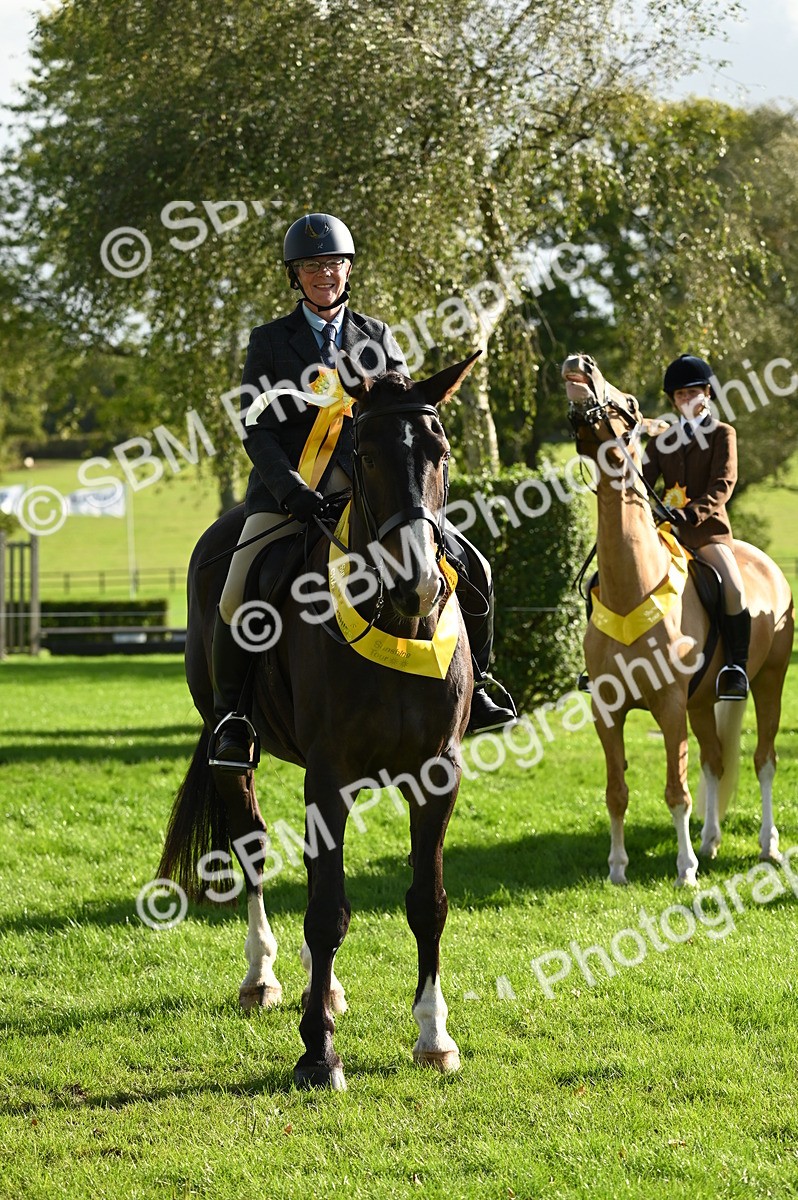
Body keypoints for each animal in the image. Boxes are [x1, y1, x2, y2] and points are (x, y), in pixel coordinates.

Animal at [158, 351, 476, 1090]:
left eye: (441, 449)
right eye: (366, 451)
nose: (418, 583)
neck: (398, 623)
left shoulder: (436, 775)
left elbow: (428, 902)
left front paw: (433, 1037)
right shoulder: (329, 777)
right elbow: (328, 910)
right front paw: (318, 1052)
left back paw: (321, 987)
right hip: (233, 746)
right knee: (249, 846)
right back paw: (264, 978)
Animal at [563, 356, 794, 886]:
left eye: (628, 404)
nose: (579, 364)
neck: (634, 586)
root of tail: (764, 562)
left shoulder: (669, 707)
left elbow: (676, 791)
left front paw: (685, 869)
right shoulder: (607, 710)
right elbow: (617, 791)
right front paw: (618, 868)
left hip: (769, 680)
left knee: (763, 760)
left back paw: (767, 846)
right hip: (703, 701)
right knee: (713, 761)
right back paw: (710, 842)